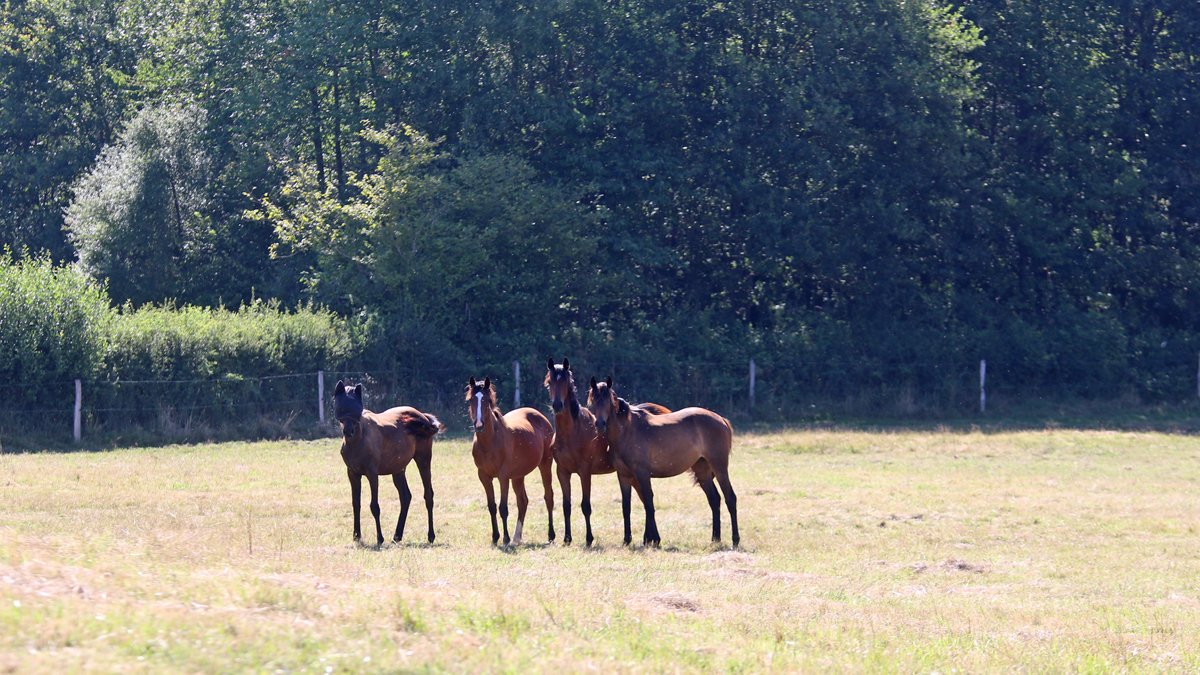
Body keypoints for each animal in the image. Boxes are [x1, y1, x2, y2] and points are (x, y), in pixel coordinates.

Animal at [332, 380, 443, 547]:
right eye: (341, 408)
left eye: (357, 411)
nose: (348, 431)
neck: (359, 440)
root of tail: (423, 416)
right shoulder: (353, 474)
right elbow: (356, 504)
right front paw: (357, 536)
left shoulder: (372, 474)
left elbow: (374, 506)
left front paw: (379, 538)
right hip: (398, 470)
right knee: (405, 497)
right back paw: (397, 536)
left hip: (423, 460)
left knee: (428, 495)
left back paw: (430, 536)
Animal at [467, 377, 556, 546]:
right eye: (471, 400)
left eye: (487, 400)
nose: (479, 425)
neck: (490, 442)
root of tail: (542, 418)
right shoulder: (484, 477)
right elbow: (492, 506)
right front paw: (495, 537)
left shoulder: (503, 477)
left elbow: (503, 508)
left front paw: (505, 539)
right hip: (518, 476)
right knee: (523, 501)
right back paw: (517, 538)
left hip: (545, 465)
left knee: (548, 497)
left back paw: (550, 535)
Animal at [544, 358, 670, 546]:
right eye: (550, 382)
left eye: (566, 382)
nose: (557, 405)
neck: (572, 431)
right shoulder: (562, 472)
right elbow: (567, 506)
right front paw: (567, 539)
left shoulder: (584, 472)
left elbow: (585, 506)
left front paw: (589, 539)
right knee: (645, 498)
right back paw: (648, 538)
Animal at [587, 376, 738, 548]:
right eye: (593, 401)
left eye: (608, 401)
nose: (600, 425)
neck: (626, 431)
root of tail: (721, 419)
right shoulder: (623, 476)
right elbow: (626, 507)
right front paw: (627, 540)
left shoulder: (642, 474)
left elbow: (648, 503)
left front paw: (653, 539)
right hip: (702, 471)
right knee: (714, 499)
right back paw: (715, 539)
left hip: (719, 467)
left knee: (730, 498)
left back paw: (735, 540)